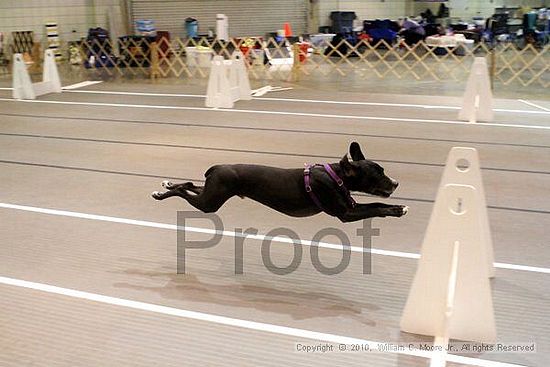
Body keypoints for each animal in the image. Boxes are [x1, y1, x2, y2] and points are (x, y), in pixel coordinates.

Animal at [152, 142, 410, 223]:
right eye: (377, 174)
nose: (396, 183)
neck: (335, 176)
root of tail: (216, 167)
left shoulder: (351, 207)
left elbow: (377, 206)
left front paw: (398, 207)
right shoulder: (346, 213)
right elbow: (376, 208)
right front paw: (398, 210)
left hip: (211, 191)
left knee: (188, 185)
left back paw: (166, 185)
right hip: (210, 202)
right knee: (185, 192)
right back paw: (161, 194)